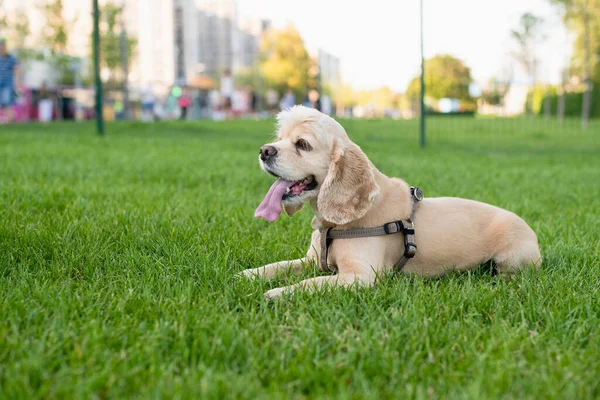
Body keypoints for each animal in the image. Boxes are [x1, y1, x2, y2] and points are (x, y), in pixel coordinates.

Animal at [240, 104, 544, 298]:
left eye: (302, 144)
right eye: (279, 138)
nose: (264, 151)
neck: (334, 225)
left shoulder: (358, 277)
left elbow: (309, 284)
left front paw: (277, 293)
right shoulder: (311, 260)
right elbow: (279, 266)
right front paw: (248, 275)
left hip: (511, 259)